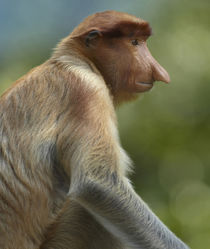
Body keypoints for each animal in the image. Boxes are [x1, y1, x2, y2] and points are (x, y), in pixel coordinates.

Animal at [0, 10, 189, 249]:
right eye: (134, 42)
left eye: (142, 41)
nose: (160, 72)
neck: (77, 60)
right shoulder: (87, 92)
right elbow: (97, 183)